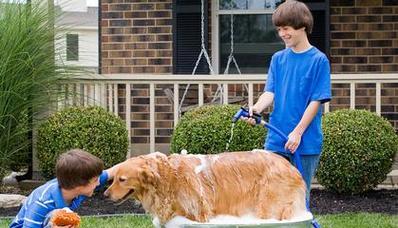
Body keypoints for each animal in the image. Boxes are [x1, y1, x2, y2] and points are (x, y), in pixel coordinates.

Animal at [104, 149, 306, 225]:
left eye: (122, 179)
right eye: (113, 179)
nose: (105, 194)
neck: (169, 177)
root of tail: (291, 166)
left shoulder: (200, 213)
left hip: (269, 205)